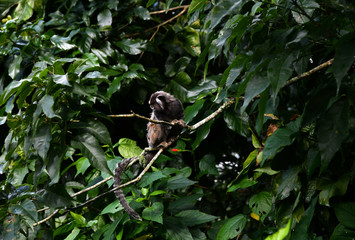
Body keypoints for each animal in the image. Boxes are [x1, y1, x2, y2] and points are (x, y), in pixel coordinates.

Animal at [114, 91, 186, 220]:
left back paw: (173, 138)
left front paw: (180, 122)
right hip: (151, 139)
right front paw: (172, 121)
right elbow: (160, 121)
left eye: (153, 105)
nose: (151, 108)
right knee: (155, 126)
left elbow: (181, 115)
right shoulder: (159, 115)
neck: (166, 107)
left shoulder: (177, 104)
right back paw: (160, 143)